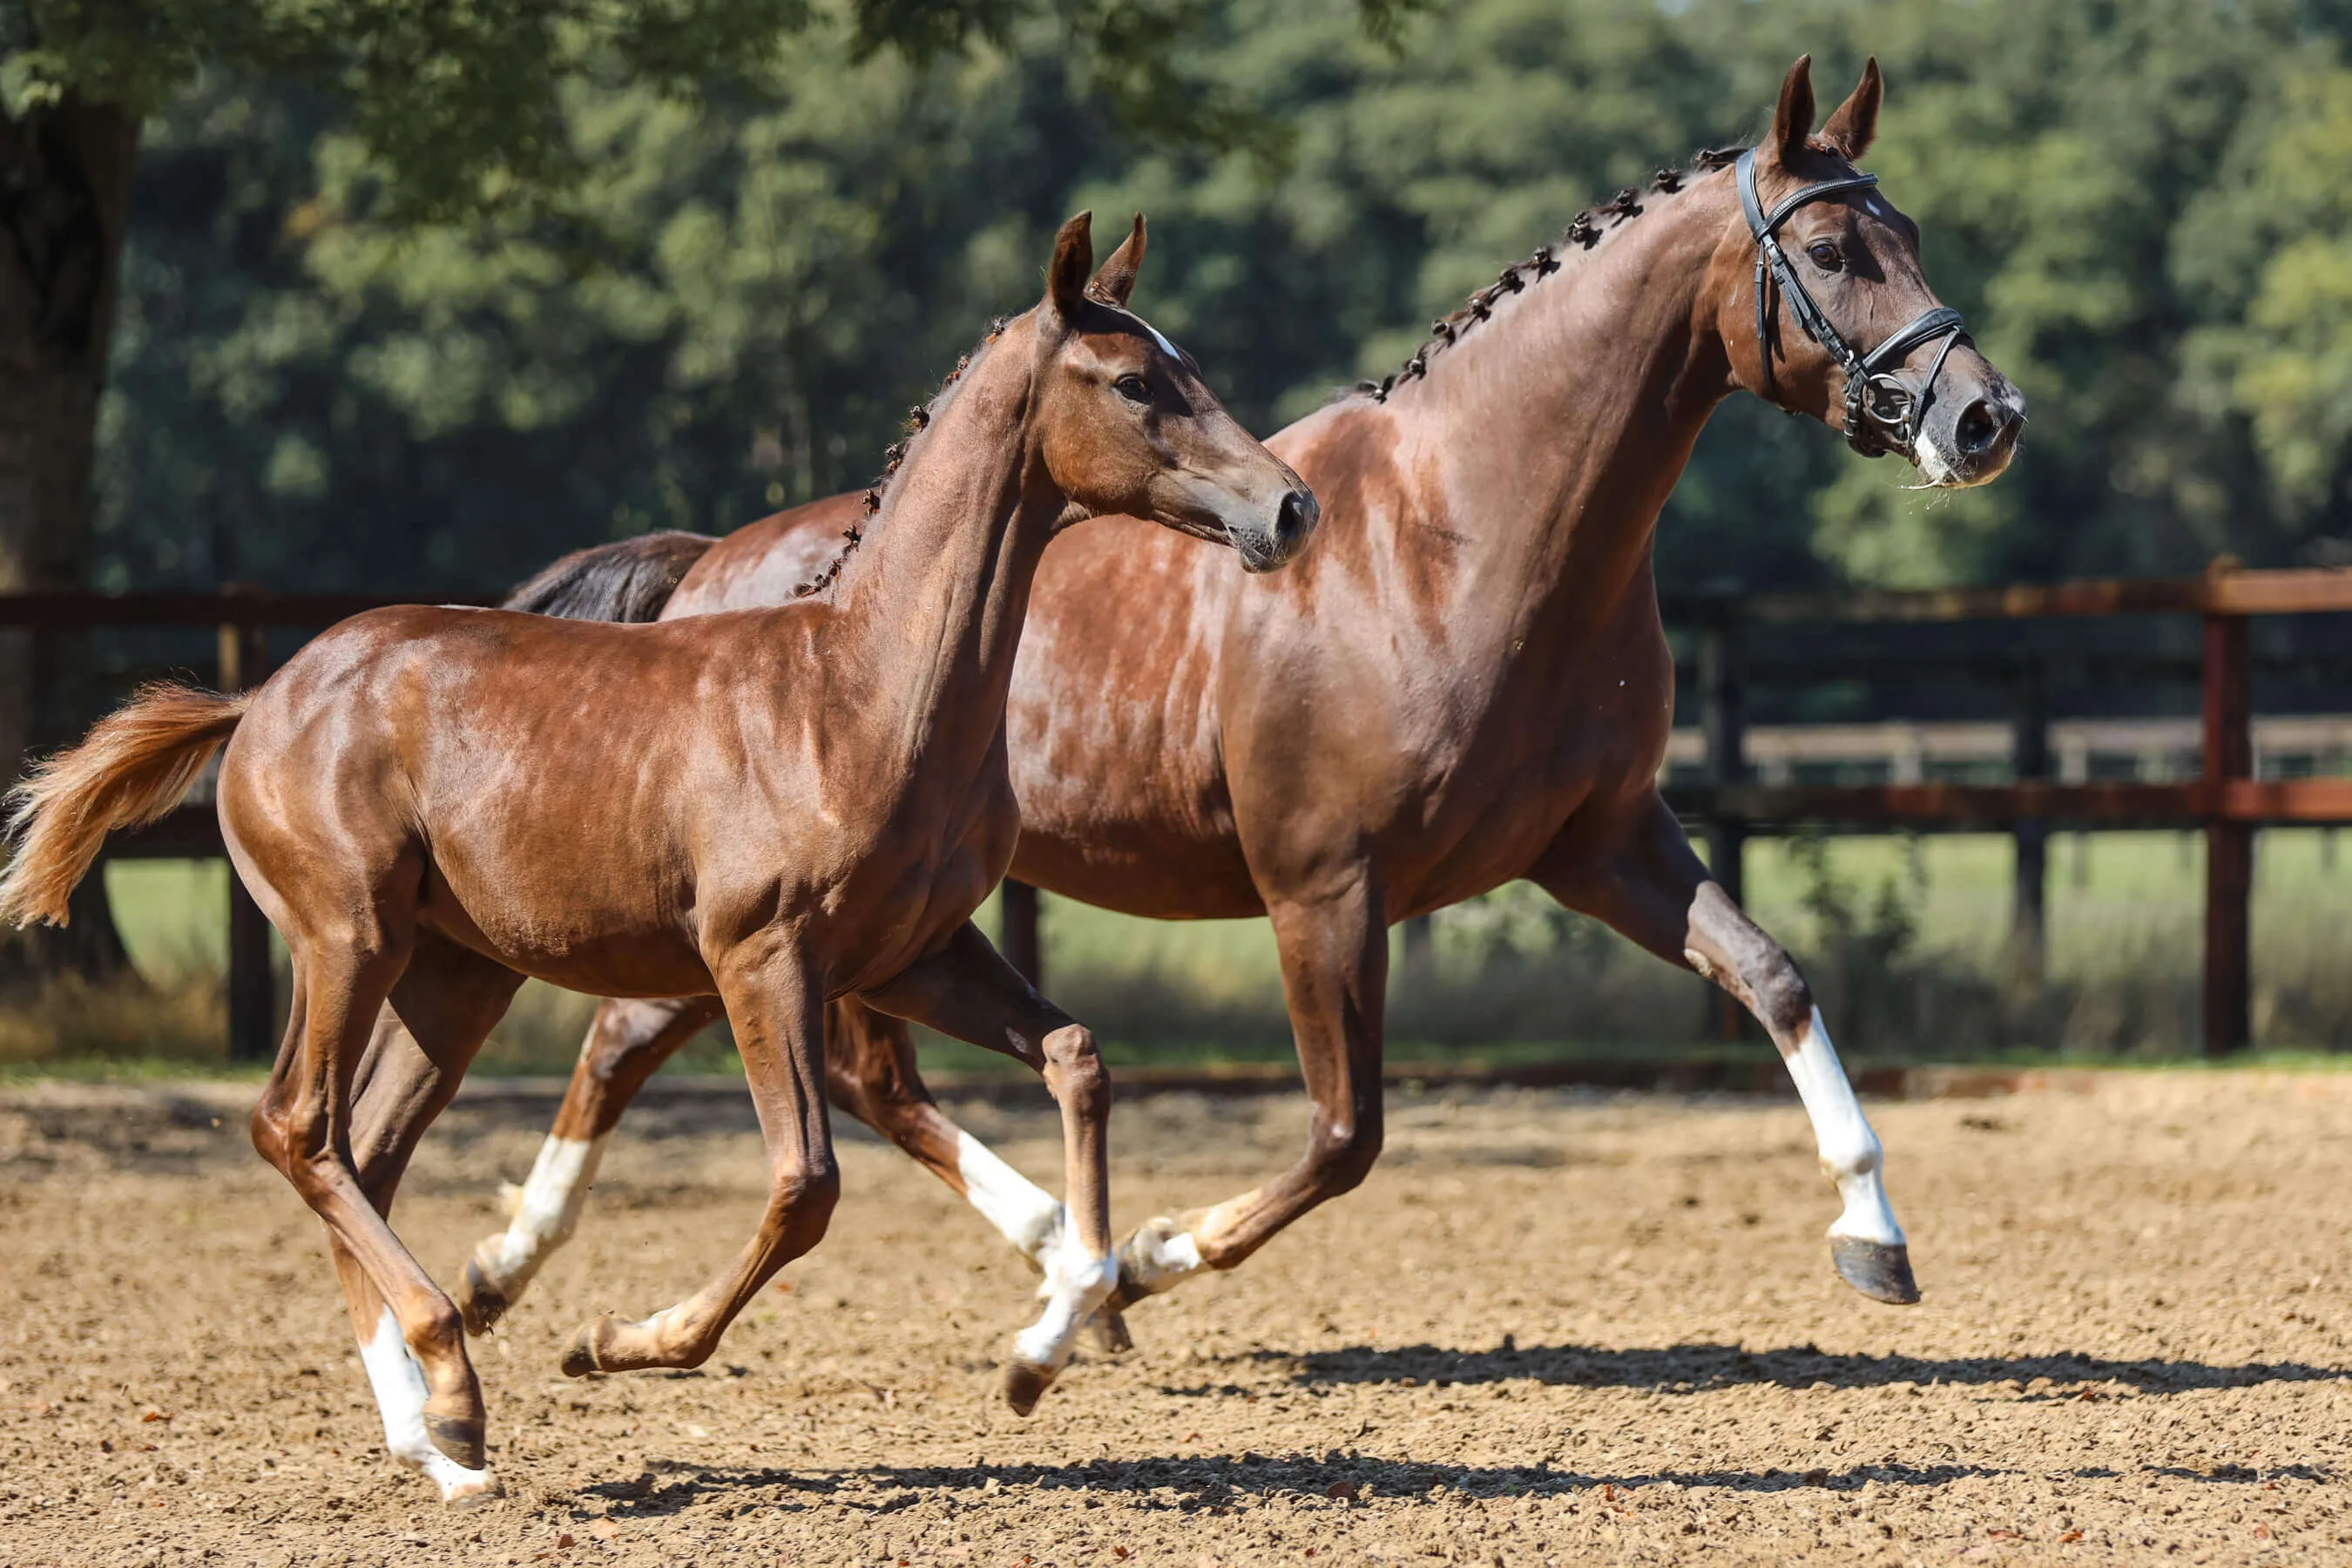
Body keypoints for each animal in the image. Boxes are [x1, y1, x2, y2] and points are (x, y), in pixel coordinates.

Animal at [0, 212, 1317, 1503]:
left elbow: (1077, 1059)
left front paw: (1045, 1346)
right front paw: (619, 1342)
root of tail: (261, 698)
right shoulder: (759, 958)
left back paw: (432, 1442)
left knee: (362, 1153)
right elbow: (805, 1185)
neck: (865, 692)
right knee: (298, 1129)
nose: (1291, 508)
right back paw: (454, 1378)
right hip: (347, 937)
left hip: (454, 975)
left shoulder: (917, 953)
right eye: (1136, 382)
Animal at [431, 55, 2027, 1346]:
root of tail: (714, 565)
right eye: (1832, 245)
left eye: (1908, 233)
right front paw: (1154, 1250)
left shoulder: (1602, 843)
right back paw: (512, 1275)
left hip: (878, 928)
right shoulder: (1326, 887)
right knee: (651, 1045)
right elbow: (1341, 1135)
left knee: (860, 1083)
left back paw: (1045, 1268)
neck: (1463, 536)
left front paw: (1873, 1238)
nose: (1981, 418)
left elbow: (1773, 976)